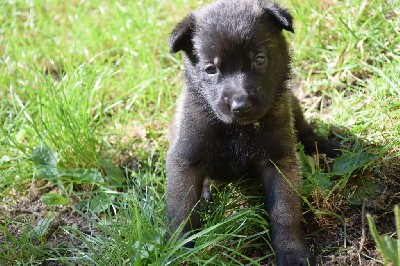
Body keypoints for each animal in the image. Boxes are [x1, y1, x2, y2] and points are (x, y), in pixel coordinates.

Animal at [166, 1, 340, 264]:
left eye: (259, 59)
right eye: (210, 69)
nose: (241, 106)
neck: (238, 130)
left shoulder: (280, 160)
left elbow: (284, 212)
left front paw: (291, 250)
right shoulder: (185, 159)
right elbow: (181, 211)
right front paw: (181, 249)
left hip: (293, 104)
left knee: (305, 131)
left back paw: (326, 146)